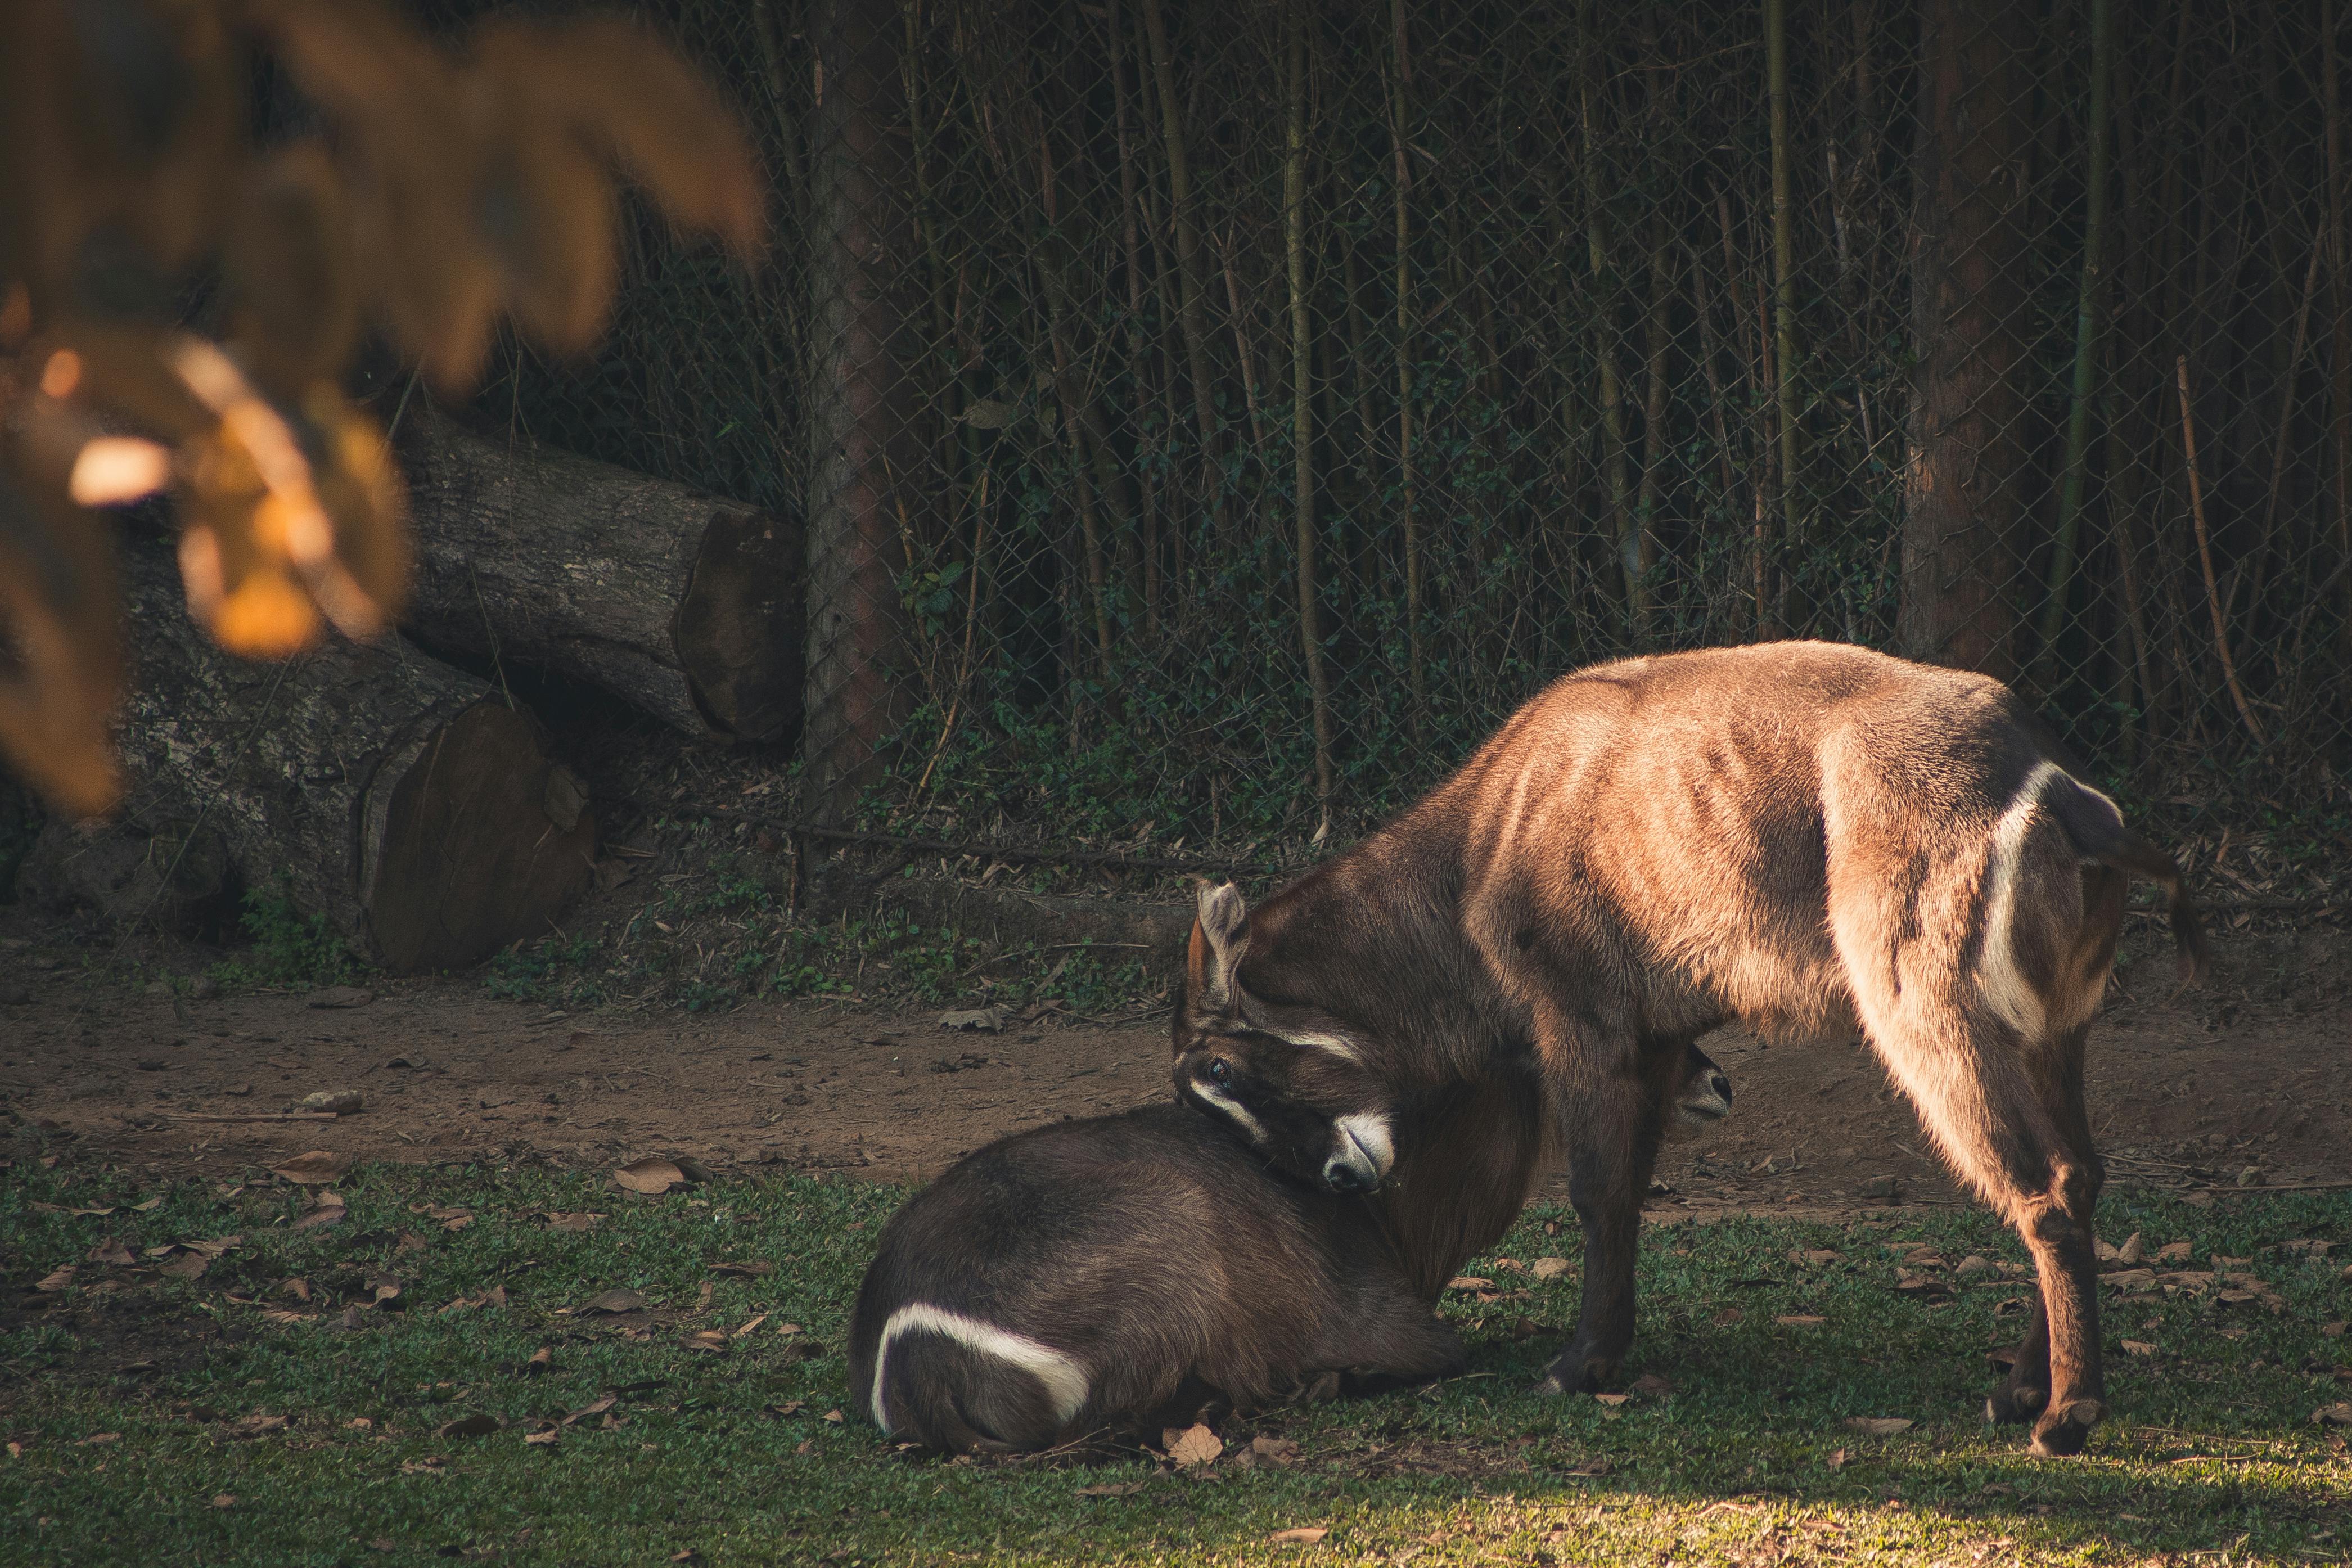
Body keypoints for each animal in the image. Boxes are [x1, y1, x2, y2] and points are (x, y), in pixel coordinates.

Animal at [1176, 639, 2201, 1457]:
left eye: (1218, 1068)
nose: (1339, 1178)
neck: (1480, 839)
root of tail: (2061, 794)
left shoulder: (1579, 1021)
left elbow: (1597, 1192)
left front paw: (1579, 1365)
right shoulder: (1655, 1040)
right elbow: (1631, 1189)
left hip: (1935, 1017)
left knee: (2043, 1185)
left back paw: (2064, 1415)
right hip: (2051, 1035)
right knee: (2080, 1172)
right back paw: (2022, 1387)